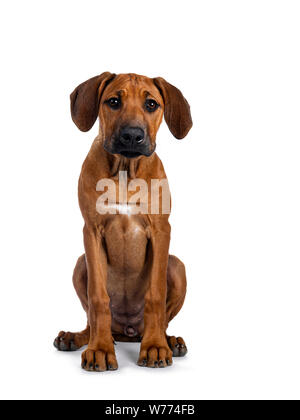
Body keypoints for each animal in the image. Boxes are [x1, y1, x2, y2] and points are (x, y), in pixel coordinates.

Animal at [54, 73, 193, 370]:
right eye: (113, 101)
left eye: (151, 104)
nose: (132, 135)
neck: (125, 171)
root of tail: (128, 332)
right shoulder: (92, 231)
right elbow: (98, 298)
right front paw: (100, 349)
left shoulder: (161, 230)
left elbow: (155, 295)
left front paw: (155, 347)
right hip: (80, 264)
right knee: (91, 320)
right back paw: (77, 337)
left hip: (176, 265)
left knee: (163, 319)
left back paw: (169, 340)